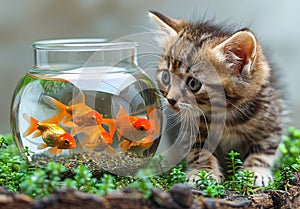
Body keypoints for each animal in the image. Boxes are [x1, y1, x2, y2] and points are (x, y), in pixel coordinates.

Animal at [149, 10, 284, 186]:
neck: (225, 114)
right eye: (166, 77)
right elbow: (199, 150)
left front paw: (254, 172)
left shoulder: (271, 121)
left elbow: (264, 149)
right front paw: (203, 172)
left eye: (193, 83)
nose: (170, 100)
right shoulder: (191, 129)